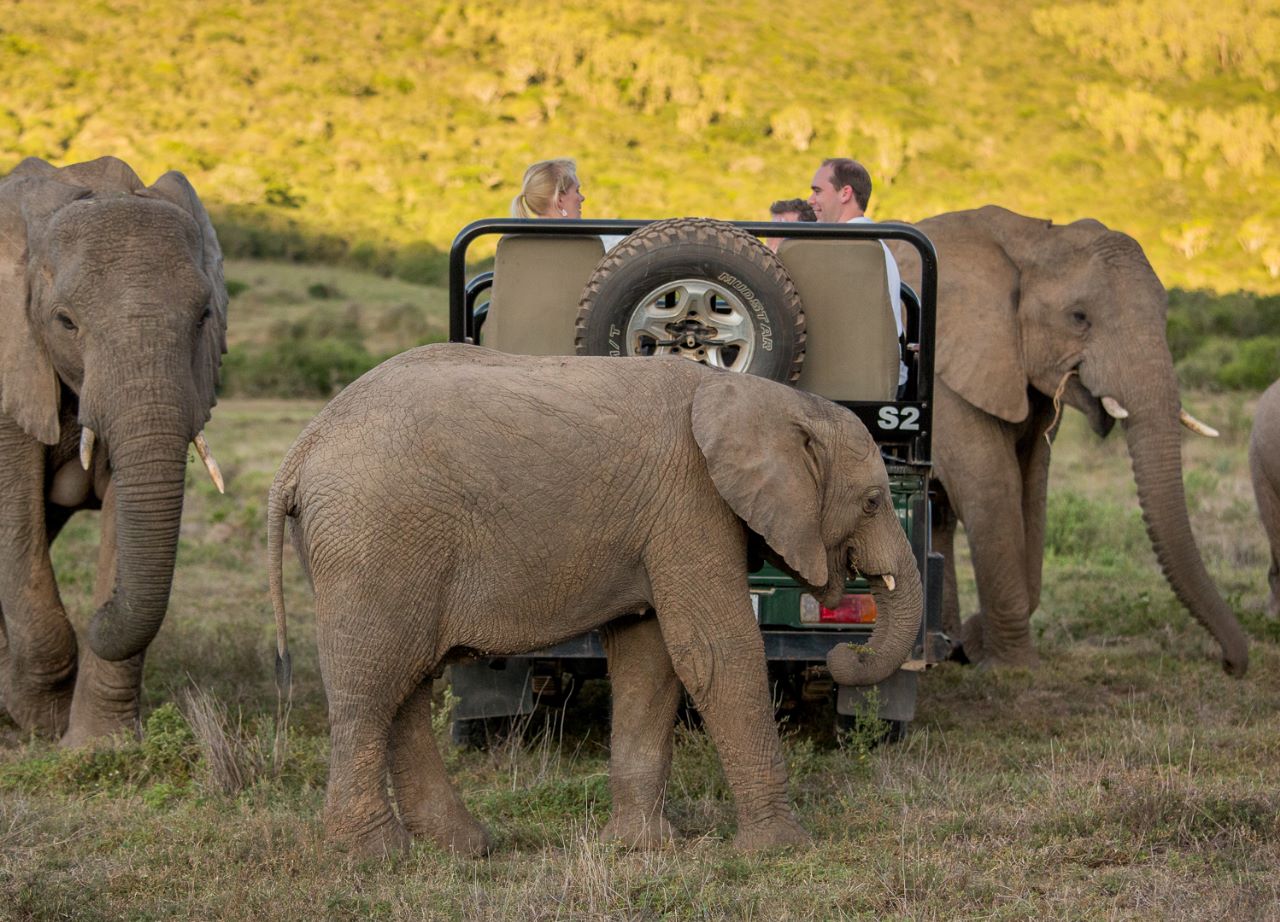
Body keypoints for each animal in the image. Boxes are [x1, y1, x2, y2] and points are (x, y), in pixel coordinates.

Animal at [0, 156, 227, 747]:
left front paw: (97, 748)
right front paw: (38, 718)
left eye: (203, 316)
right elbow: (14, 520)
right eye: (65, 322)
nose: (100, 614)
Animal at [267, 345, 921, 855]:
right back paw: (376, 856)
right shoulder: (690, 503)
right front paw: (781, 849)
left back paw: (463, 848)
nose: (843, 654)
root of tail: (304, 445)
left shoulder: (661, 520)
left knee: (406, 683)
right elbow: (715, 652)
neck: (764, 397)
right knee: (372, 682)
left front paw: (638, 848)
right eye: (871, 502)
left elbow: (649, 659)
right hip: (374, 537)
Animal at [890, 204, 1249, 671]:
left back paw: (945, 646)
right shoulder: (948, 370)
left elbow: (1031, 484)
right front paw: (1013, 667)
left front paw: (973, 645)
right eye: (1079, 317)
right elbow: (994, 486)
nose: (1231, 664)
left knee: (941, 513)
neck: (1034, 239)